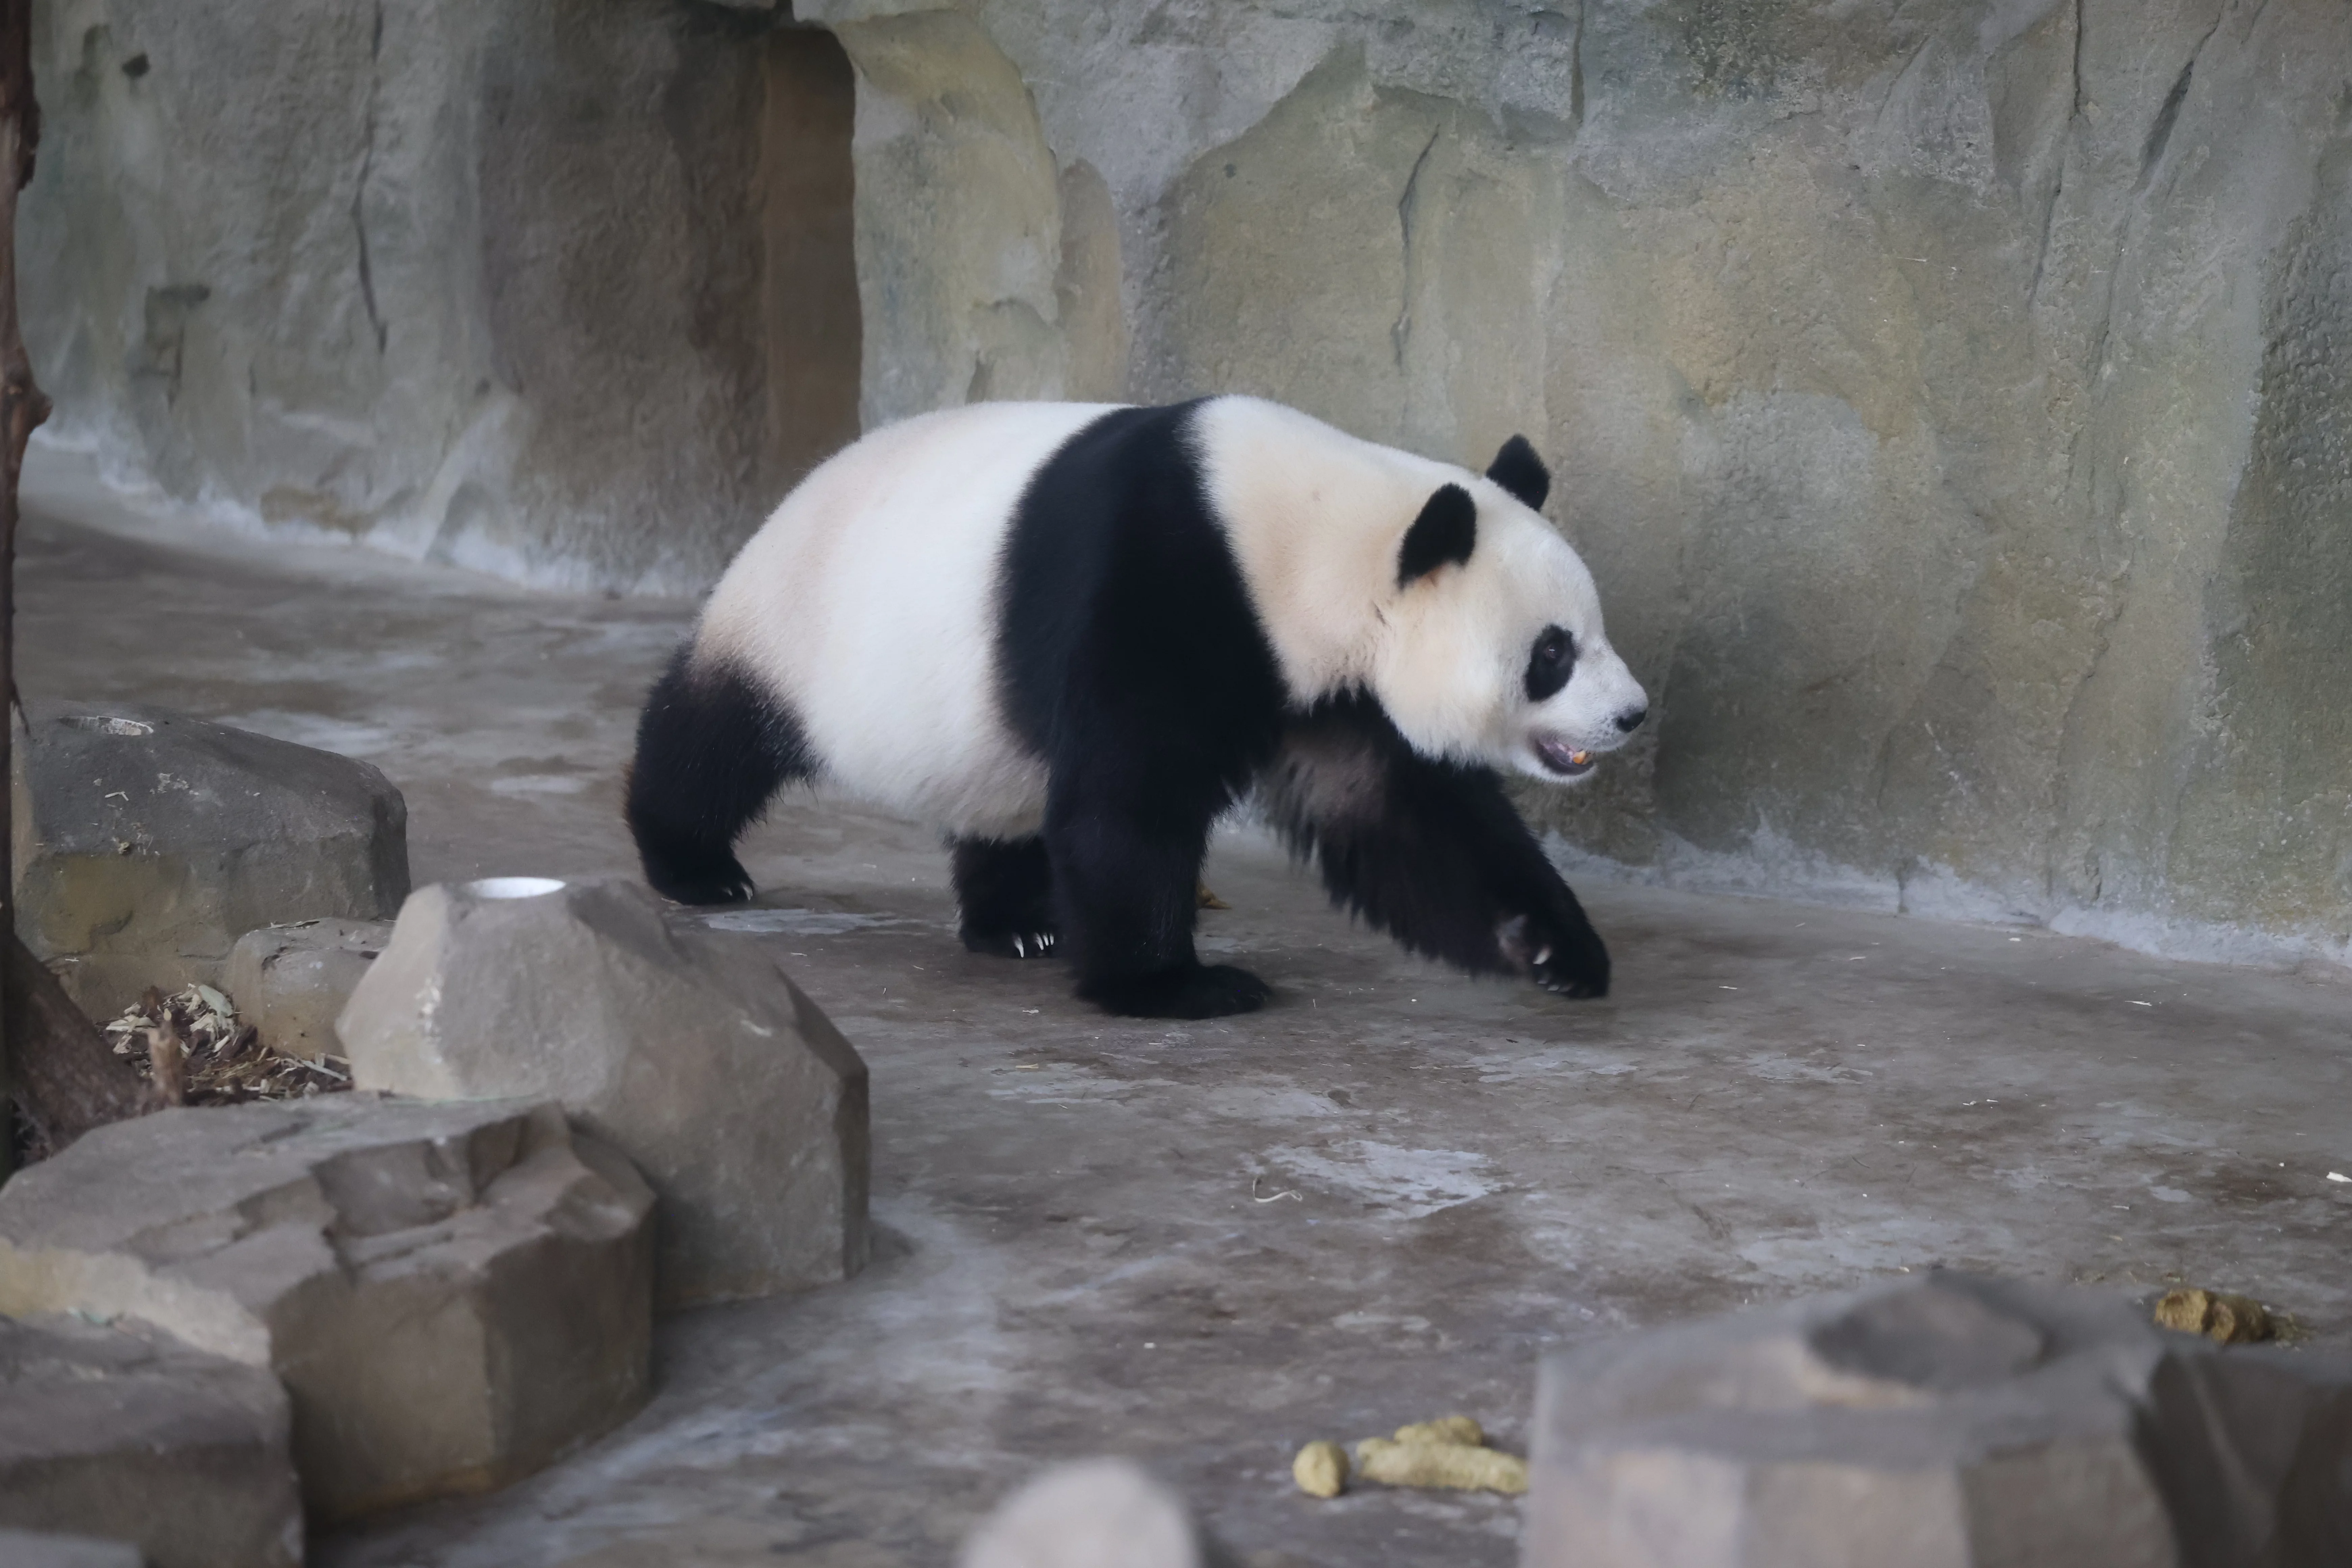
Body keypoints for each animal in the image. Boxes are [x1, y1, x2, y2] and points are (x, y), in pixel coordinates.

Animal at [625, 396, 1648, 1020]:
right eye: (1553, 652)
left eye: (1590, 631)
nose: (1633, 714)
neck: (1315, 532)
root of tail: (801, 482)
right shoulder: (1168, 582)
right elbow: (1129, 798)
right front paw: (1174, 984)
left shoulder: (1331, 687)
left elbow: (1400, 816)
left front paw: (1556, 951)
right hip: (797, 624)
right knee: (714, 738)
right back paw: (695, 864)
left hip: (974, 732)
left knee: (999, 803)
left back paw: (1016, 925)